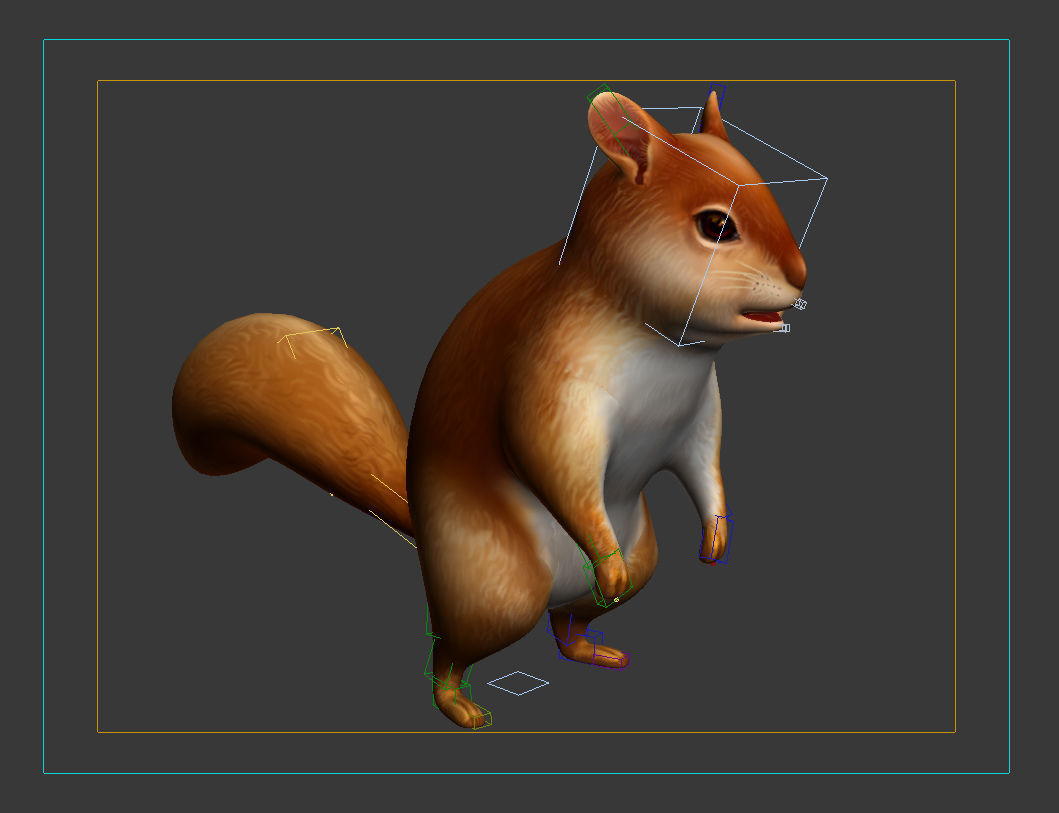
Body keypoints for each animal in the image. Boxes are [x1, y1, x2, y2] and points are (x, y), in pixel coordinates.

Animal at [172, 90, 808, 730]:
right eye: (717, 225)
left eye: (767, 188)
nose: (802, 277)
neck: (665, 344)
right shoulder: (552, 385)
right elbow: (554, 462)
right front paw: (607, 557)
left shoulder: (699, 411)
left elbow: (705, 463)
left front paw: (716, 536)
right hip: (496, 589)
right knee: (454, 650)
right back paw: (462, 701)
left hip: (640, 560)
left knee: (569, 622)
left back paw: (592, 648)